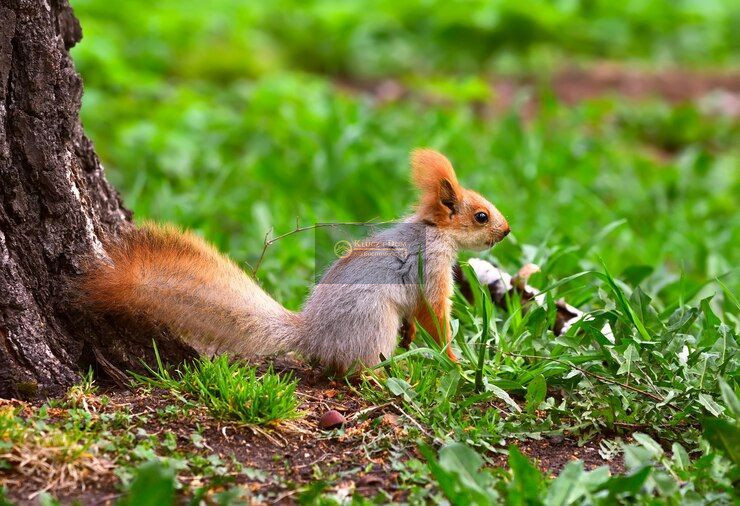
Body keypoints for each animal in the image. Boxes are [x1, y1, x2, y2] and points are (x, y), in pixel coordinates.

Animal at [81, 148, 508, 374]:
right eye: (481, 216)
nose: (505, 232)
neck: (435, 231)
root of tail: (311, 335)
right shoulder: (431, 267)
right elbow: (435, 313)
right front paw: (454, 360)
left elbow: (418, 316)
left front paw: (414, 339)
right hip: (372, 320)